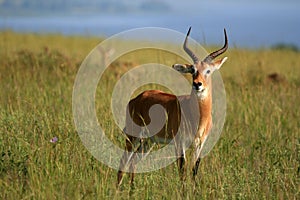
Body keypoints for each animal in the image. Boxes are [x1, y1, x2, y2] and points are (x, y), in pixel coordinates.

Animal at [116, 27, 227, 186]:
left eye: (208, 71)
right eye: (192, 70)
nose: (197, 84)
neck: (197, 117)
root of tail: (136, 98)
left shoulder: (200, 144)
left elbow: (194, 169)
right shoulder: (180, 143)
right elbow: (182, 170)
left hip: (148, 142)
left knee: (133, 162)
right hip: (133, 136)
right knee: (123, 162)